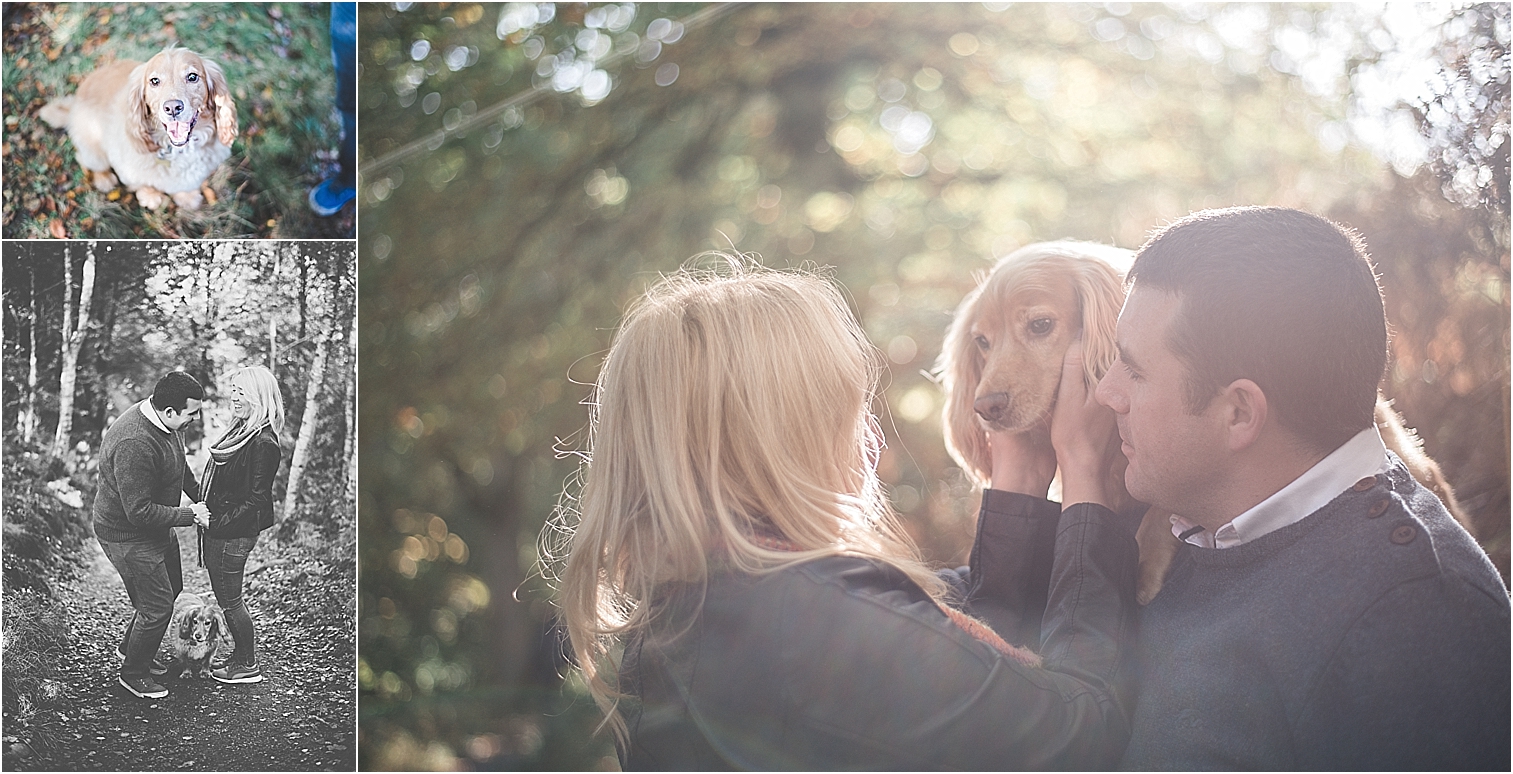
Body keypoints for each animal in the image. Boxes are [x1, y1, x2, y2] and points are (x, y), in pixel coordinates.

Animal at [38, 45, 237, 211]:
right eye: (154, 81)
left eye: (193, 77)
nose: (172, 107)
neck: (177, 150)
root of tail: (72, 106)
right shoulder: (126, 167)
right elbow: (143, 185)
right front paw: (151, 197)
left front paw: (187, 197)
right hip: (93, 149)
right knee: (85, 160)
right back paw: (104, 179)